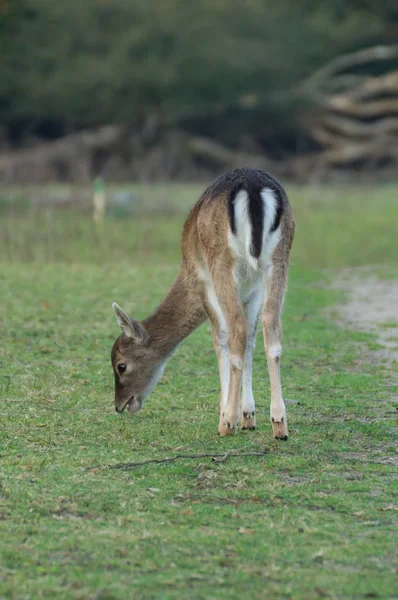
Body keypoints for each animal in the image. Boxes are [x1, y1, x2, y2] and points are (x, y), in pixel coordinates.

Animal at [110, 166, 294, 438]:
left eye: (121, 366)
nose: (119, 405)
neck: (186, 273)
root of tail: (252, 186)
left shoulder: (204, 285)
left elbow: (221, 339)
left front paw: (228, 414)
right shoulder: (253, 290)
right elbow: (251, 339)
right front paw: (248, 416)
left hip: (221, 261)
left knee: (236, 330)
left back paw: (227, 424)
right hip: (279, 258)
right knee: (272, 330)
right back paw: (280, 424)